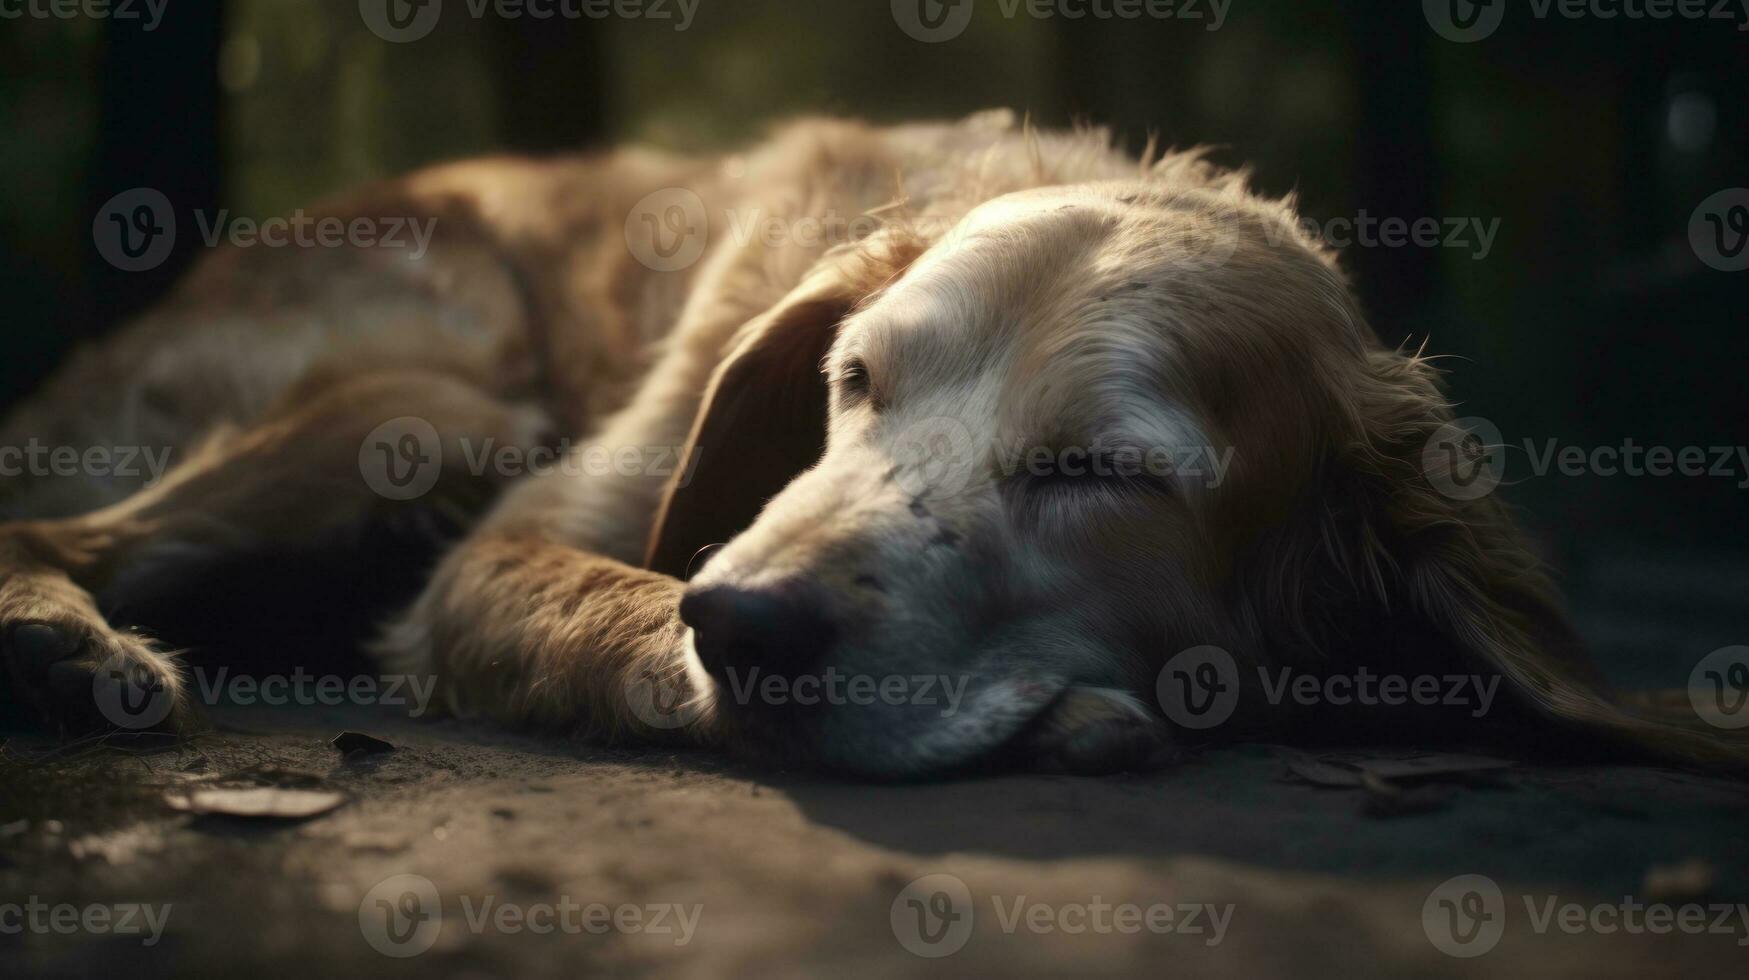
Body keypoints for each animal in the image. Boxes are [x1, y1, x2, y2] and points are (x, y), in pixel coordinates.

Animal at [0, 111, 1742, 777]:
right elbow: (626, 606)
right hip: (438, 414)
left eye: (1098, 472)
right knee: (44, 528)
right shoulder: (505, 549)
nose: (748, 623)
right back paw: (60, 646)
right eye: (853, 384)